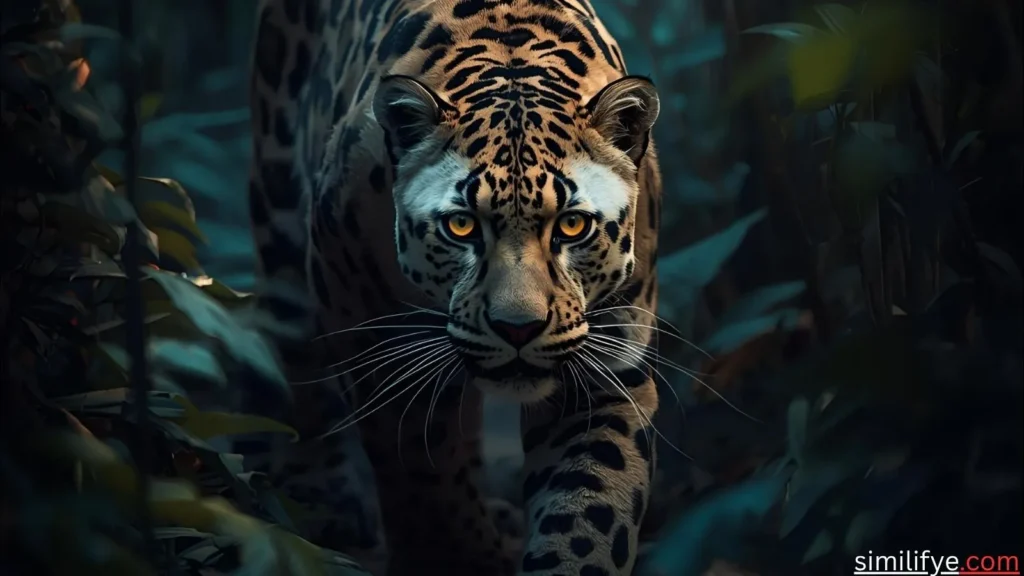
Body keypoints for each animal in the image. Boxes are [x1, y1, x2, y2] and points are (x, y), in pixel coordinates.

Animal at [246, 0, 663, 574]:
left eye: (573, 226)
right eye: (461, 226)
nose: (518, 329)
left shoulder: (605, 365)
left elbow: (589, 510)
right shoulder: (368, 326)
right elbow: (424, 474)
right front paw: (456, 554)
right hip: (278, 200)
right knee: (296, 355)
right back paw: (322, 497)